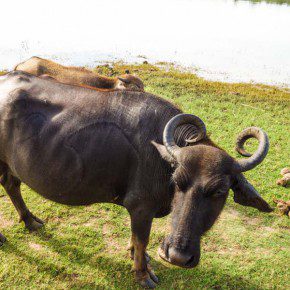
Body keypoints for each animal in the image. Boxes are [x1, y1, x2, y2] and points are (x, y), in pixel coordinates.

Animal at [0, 71, 272, 288]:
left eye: (219, 191)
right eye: (177, 181)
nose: (177, 257)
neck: (162, 155)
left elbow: (136, 239)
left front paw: (134, 254)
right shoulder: (142, 206)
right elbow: (143, 240)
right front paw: (142, 273)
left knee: (11, 185)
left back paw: (30, 220)